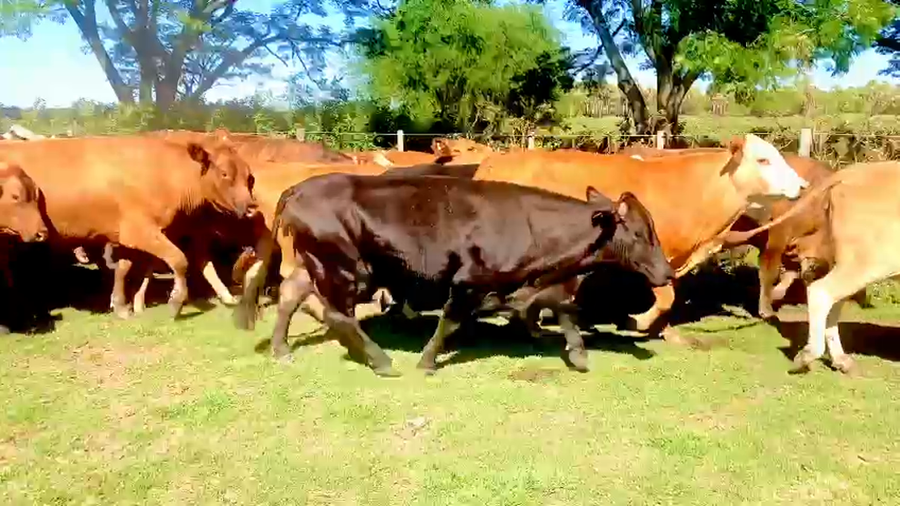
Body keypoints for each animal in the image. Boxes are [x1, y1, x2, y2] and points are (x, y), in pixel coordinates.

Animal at [0, 135, 256, 318]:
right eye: (225, 173)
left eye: (249, 176)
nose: (252, 207)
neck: (162, 173)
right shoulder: (142, 231)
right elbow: (179, 260)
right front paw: (176, 301)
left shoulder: (128, 236)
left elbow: (123, 268)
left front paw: (121, 305)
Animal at [258, 173, 674, 377]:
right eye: (641, 233)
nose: (668, 272)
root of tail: (299, 188)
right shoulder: (469, 281)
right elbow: (450, 321)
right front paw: (427, 361)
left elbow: (563, 310)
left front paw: (578, 354)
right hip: (348, 269)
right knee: (337, 314)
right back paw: (381, 361)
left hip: (317, 264)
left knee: (292, 294)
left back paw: (282, 350)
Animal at [471, 133, 809, 343]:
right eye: (763, 160)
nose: (803, 186)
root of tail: (495, 162)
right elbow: (666, 297)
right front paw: (638, 323)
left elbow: (671, 298)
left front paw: (666, 332)